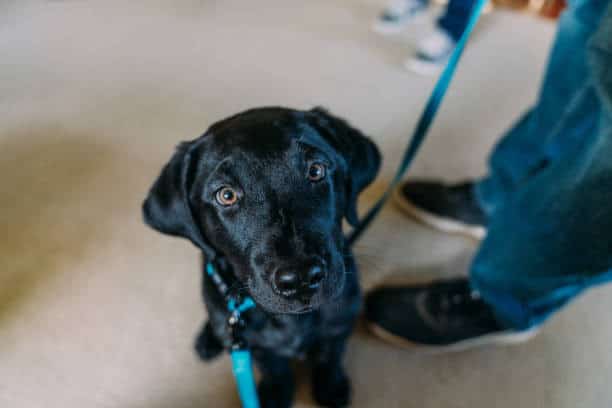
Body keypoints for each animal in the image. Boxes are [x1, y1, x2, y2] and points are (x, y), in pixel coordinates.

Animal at [143, 107, 380, 408]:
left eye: (316, 170)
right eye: (226, 195)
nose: (301, 279)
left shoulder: (341, 319)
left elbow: (331, 356)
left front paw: (331, 387)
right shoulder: (254, 343)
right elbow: (274, 367)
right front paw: (276, 394)